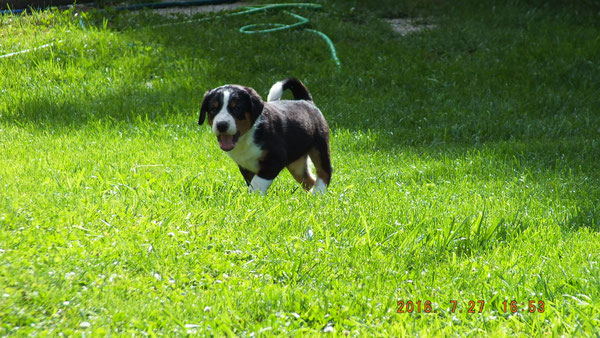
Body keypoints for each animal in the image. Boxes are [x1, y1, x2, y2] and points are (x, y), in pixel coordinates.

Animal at [198, 78, 332, 194]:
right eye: (213, 109)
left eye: (237, 108)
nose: (221, 125)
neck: (247, 136)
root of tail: (305, 101)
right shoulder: (245, 166)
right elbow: (251, 182)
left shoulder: (275, 159)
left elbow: (257, 183)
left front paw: (253, 199)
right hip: (297, 164)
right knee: (309, 179)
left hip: (319, 147)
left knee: (325, 172)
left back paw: (318, 193)